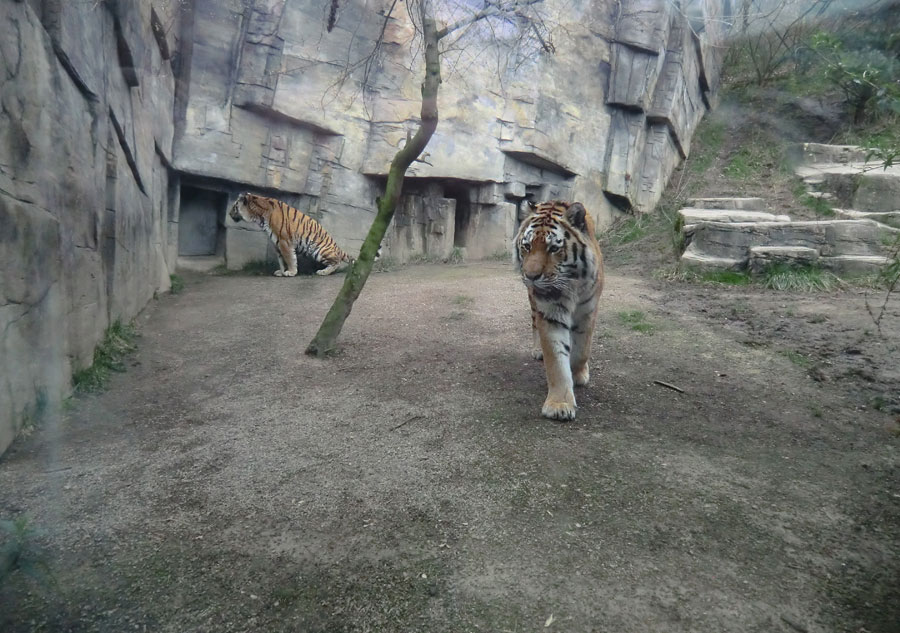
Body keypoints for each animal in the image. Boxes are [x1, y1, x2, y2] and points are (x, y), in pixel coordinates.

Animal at [230, 193, 374, 276]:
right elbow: (281, 260)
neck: (258, 215)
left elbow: (290, 258)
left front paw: (291, 272)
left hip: (319, 250)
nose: (229, 214)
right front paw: (281, 272)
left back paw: (323, 272)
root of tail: (337, 246)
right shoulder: (277, 243)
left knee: (337, 261)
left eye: (234, 207)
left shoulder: (284, 242)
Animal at [512, 200, 604, 422]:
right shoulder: (550, 312)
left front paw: (578, 374)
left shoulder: (588, 312)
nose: (530, 276)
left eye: (553, 248)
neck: (571, 285)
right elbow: (556, 360)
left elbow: (582, 349)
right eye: (527, 246)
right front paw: (559, 404)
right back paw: (538, 350)